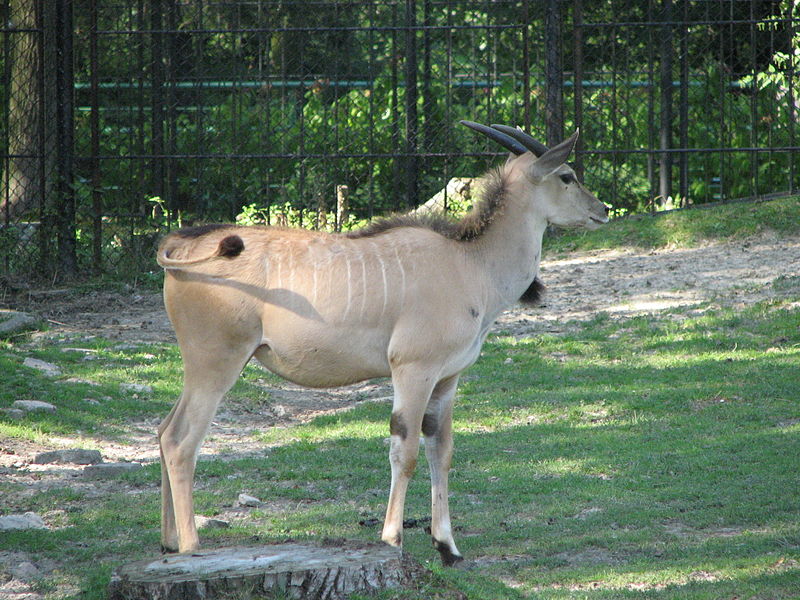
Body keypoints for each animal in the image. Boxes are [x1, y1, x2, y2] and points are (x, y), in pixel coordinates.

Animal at [155, 120, 608, 564]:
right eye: (567, 176)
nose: (601, 210)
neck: (470, 262)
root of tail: (179, 245)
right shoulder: (413, 369)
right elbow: (404, 450)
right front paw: (392, 537)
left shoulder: (447, 379)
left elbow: (441, 450)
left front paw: (447, 546)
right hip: (217, 363)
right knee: (180, 440)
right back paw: (191, 547)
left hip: (201, 367)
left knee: (162, 430)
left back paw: (168, 541)